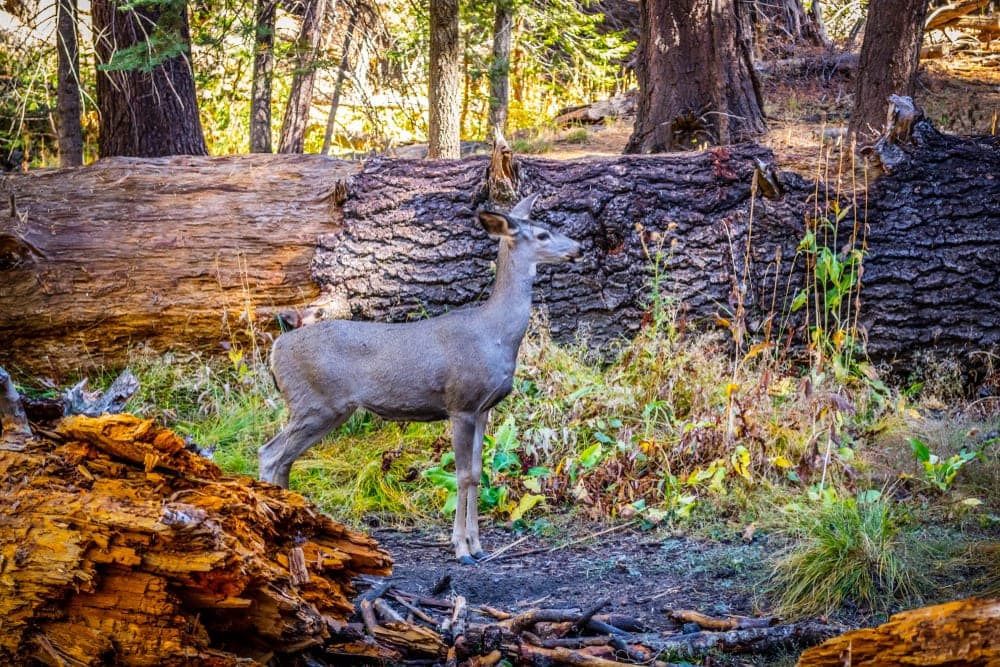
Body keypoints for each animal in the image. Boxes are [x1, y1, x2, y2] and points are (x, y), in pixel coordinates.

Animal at [259, 193, 581, 564]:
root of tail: (276, 350)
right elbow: (462, 475)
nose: (579, 248)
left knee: (284, 459)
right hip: (315, 402)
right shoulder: (461, 402)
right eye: (542, 234)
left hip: (320, 408)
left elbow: (477, 473)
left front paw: (478, 546)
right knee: (270, 454)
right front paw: (461, 549)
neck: (496, 334)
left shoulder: (484, 409)